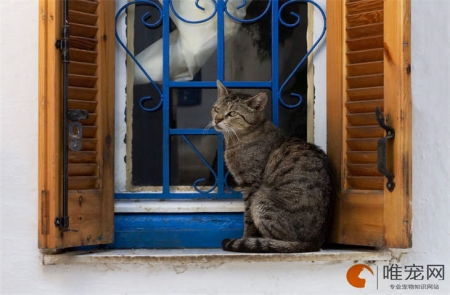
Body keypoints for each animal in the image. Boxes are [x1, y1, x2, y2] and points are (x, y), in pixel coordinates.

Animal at [211, 81, 334, 254]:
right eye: (216, 109)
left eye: (232, 113)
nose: (217, 119)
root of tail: (315, 242)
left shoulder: (251, 185)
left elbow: (248, 219)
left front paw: (246, 238)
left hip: (261, 201)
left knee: (285, 241)